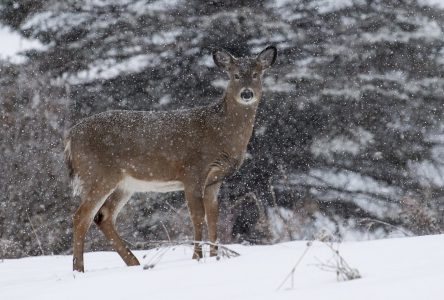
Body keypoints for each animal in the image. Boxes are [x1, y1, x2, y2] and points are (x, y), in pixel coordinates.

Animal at [63, 44, 278, 272]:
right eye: (235, 75)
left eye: (256, 74)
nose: (247, 93)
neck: (220, 132)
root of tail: (70, 136)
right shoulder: (192, 171)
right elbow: (197, 216)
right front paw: (197, 257)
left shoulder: (214, 179)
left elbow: (213, 216)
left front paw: (215, 257)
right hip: (98, 174)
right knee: (81, 217)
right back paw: (79, 269)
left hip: (124, 184)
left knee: (103, 217)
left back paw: (134, 263)